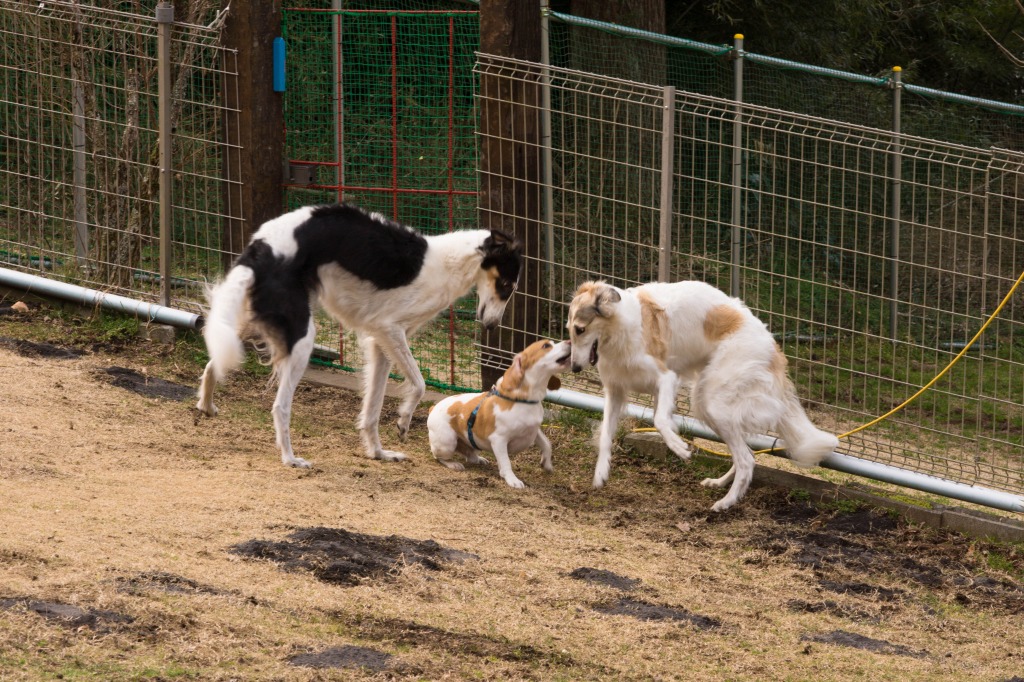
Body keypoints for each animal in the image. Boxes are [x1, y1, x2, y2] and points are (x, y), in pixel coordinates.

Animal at [428, 337, 573, 485]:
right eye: (546, 346)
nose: (570, 341)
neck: (524, 400)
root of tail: (433, 408)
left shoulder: (534, 430)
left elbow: (547, 444)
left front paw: (547, 464)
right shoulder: (499, 440)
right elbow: (506, 462)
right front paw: (512, 480)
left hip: (472, 444)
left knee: (470, 456)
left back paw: (479, 460)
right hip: (447, 443)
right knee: (438, 456)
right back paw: (453, 464)